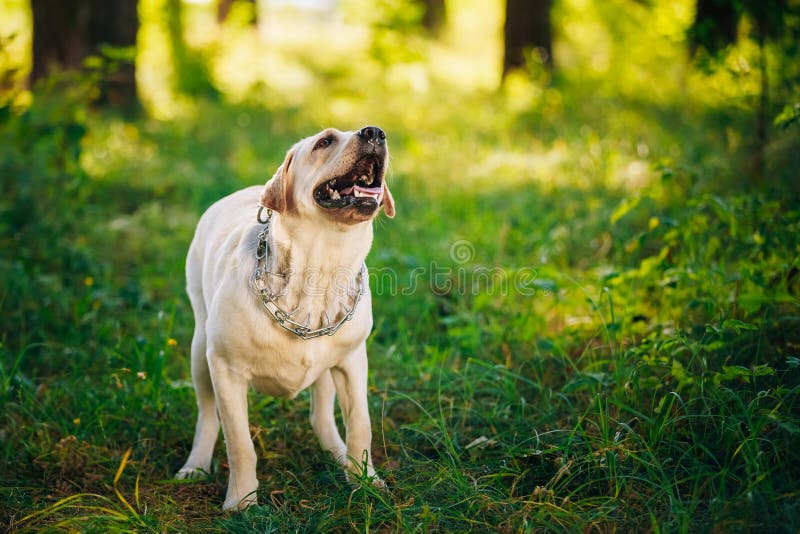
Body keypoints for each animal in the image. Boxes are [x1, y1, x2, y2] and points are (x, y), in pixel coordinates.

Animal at [178, 124, 396, 510]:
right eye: (324, 141)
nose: (375, 132)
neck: (320, 273)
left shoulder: (353, 361)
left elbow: (361, 425)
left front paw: (365, 481)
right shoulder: (226, 370)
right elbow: (239, 443)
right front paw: (241, 502)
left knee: (321, 416)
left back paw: (338, 454)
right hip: (200, 350)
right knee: (207, 414)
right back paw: (196, 465)